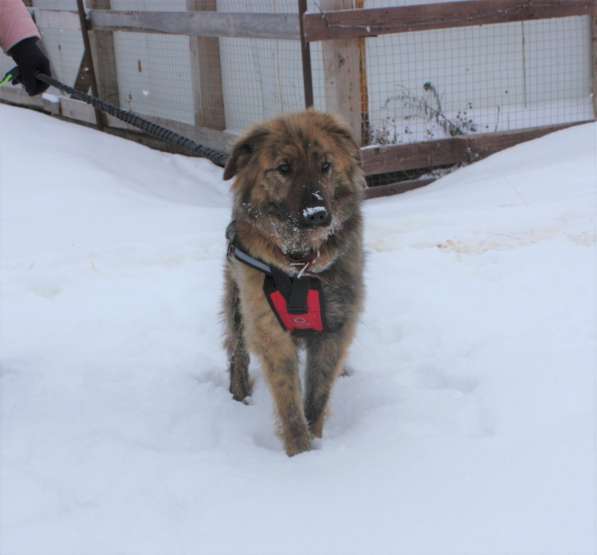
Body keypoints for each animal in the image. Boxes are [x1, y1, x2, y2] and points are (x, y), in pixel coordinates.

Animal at [222, 111, 364, 458]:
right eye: (284, 168)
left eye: (325, 165)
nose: (317, 214)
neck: (301, 264)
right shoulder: (269, 327)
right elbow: (289, 401)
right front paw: (300, 453)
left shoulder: (335, 326)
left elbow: (317, 395)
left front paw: (315, 443)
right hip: (236, 304)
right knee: (237, 351)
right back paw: (239, 394)